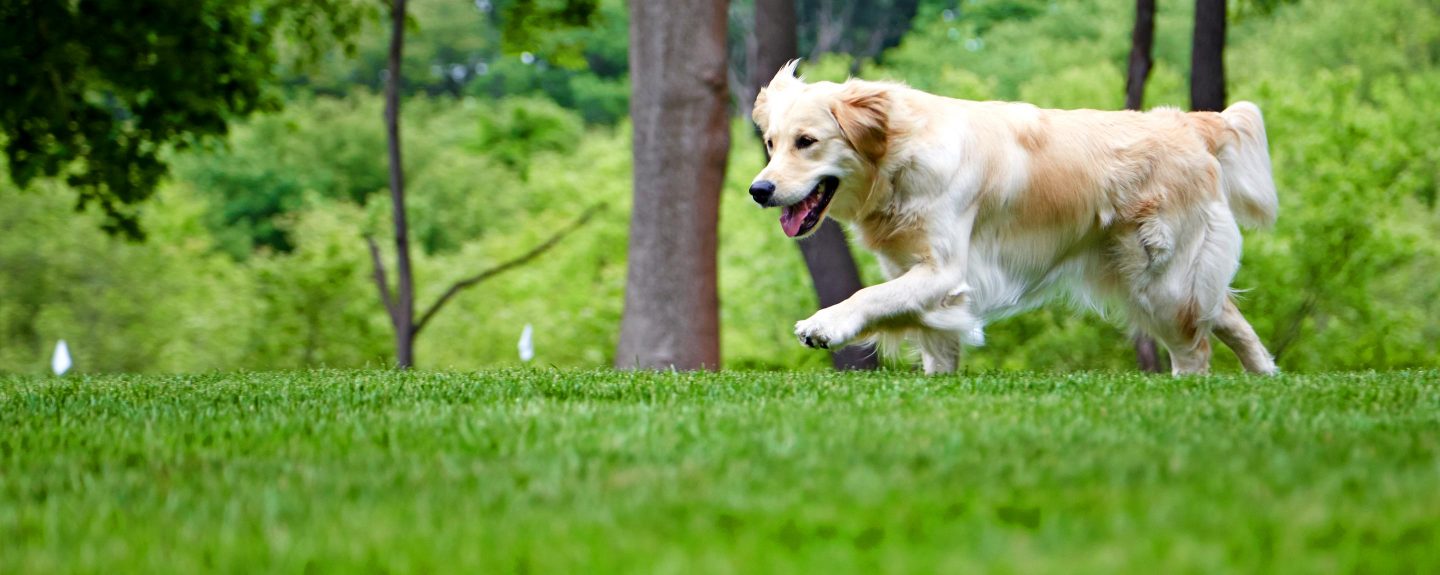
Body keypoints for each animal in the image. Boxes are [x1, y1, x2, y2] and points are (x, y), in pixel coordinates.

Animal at [748, 63, 1278, 374]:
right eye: (771, 144)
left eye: (807, 142)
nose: (758, 190)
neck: (902, 156)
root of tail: (1188, 121)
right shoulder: (919, 277)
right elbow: (934, 348)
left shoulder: (944, 271)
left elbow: (868, 295)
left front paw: (825, 324)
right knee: (1227, 317)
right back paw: (1264, 377)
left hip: (1160, 278)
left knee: (1195, 349)